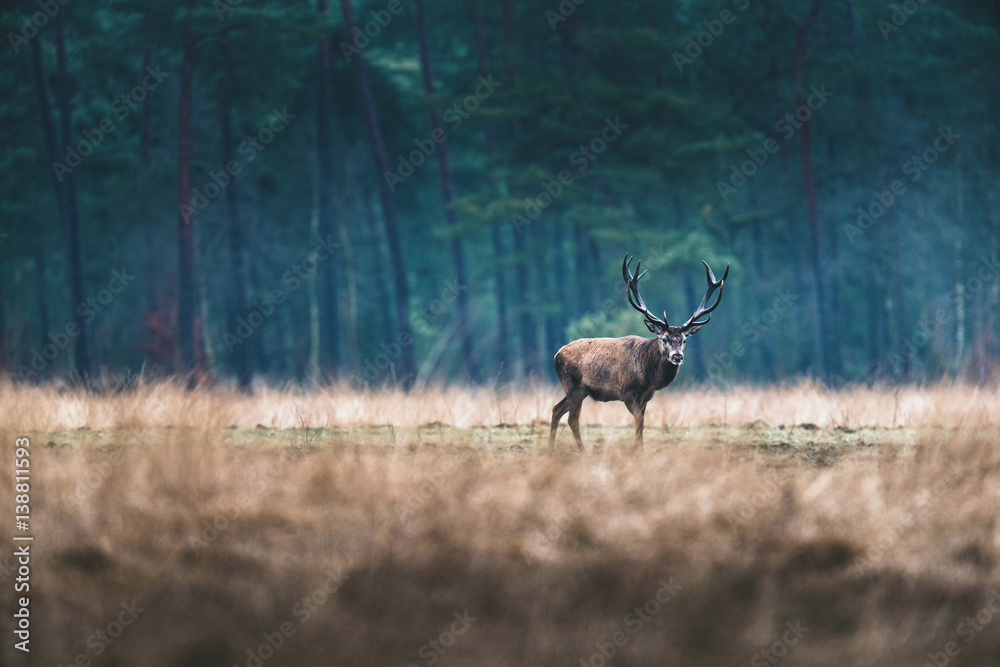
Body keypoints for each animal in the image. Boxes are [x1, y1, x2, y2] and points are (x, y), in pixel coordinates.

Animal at [549, 255, 729, 454]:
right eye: (664, 338)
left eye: (684, 340)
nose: (677, 356)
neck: (648, 377)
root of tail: (556, 355)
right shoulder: (627, 392)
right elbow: (639, 421)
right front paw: (638, 452)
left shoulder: (645, 397)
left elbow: (642, 422)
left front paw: (640, 451)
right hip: (573, 385)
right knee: (572, 418)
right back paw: (583, 452)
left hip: (580, 391)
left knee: (556, 409)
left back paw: (551, 450)